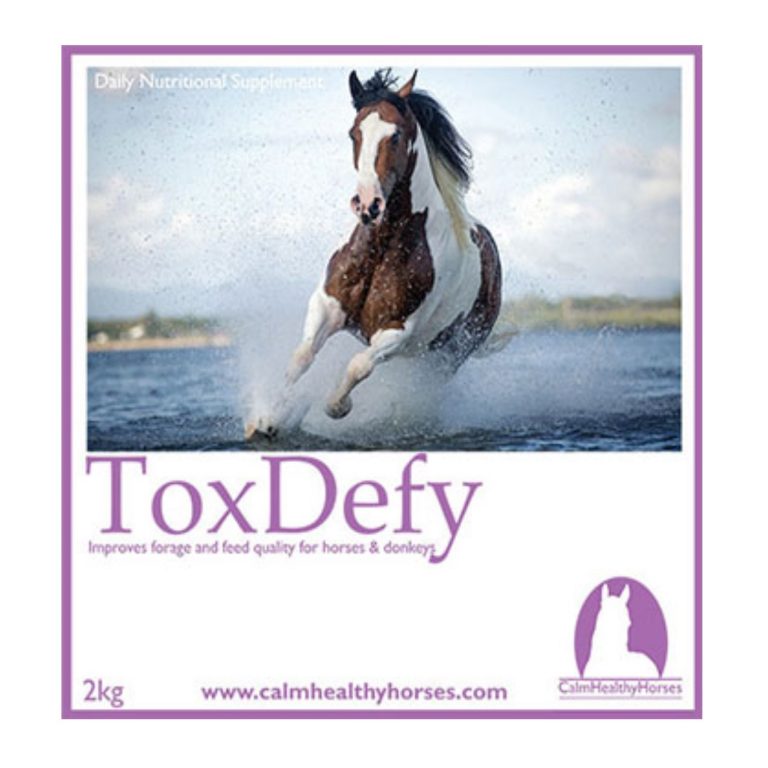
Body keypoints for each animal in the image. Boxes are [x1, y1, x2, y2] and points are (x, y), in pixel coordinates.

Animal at [246, 68, 502, 440]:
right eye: (354, 132)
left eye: (395, 135)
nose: (368, 204)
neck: (384, 245)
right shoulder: (327, 305)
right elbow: (300, 358)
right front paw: (267, 420)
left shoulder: (398, 330)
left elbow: (358, 366)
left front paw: (337, 407)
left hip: (446, 355)